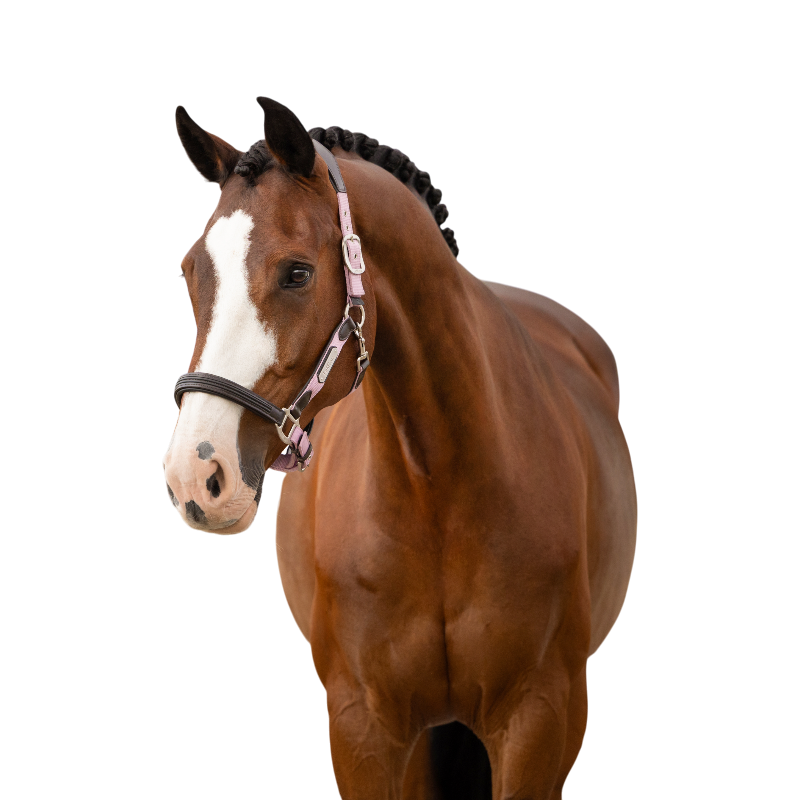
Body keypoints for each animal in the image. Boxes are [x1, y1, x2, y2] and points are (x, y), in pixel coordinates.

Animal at [163, 97, 637, 799]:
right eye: (192, 271)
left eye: (297, 272)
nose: (195, 475)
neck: (436, 490)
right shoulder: (364, 727)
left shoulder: (539, 721)